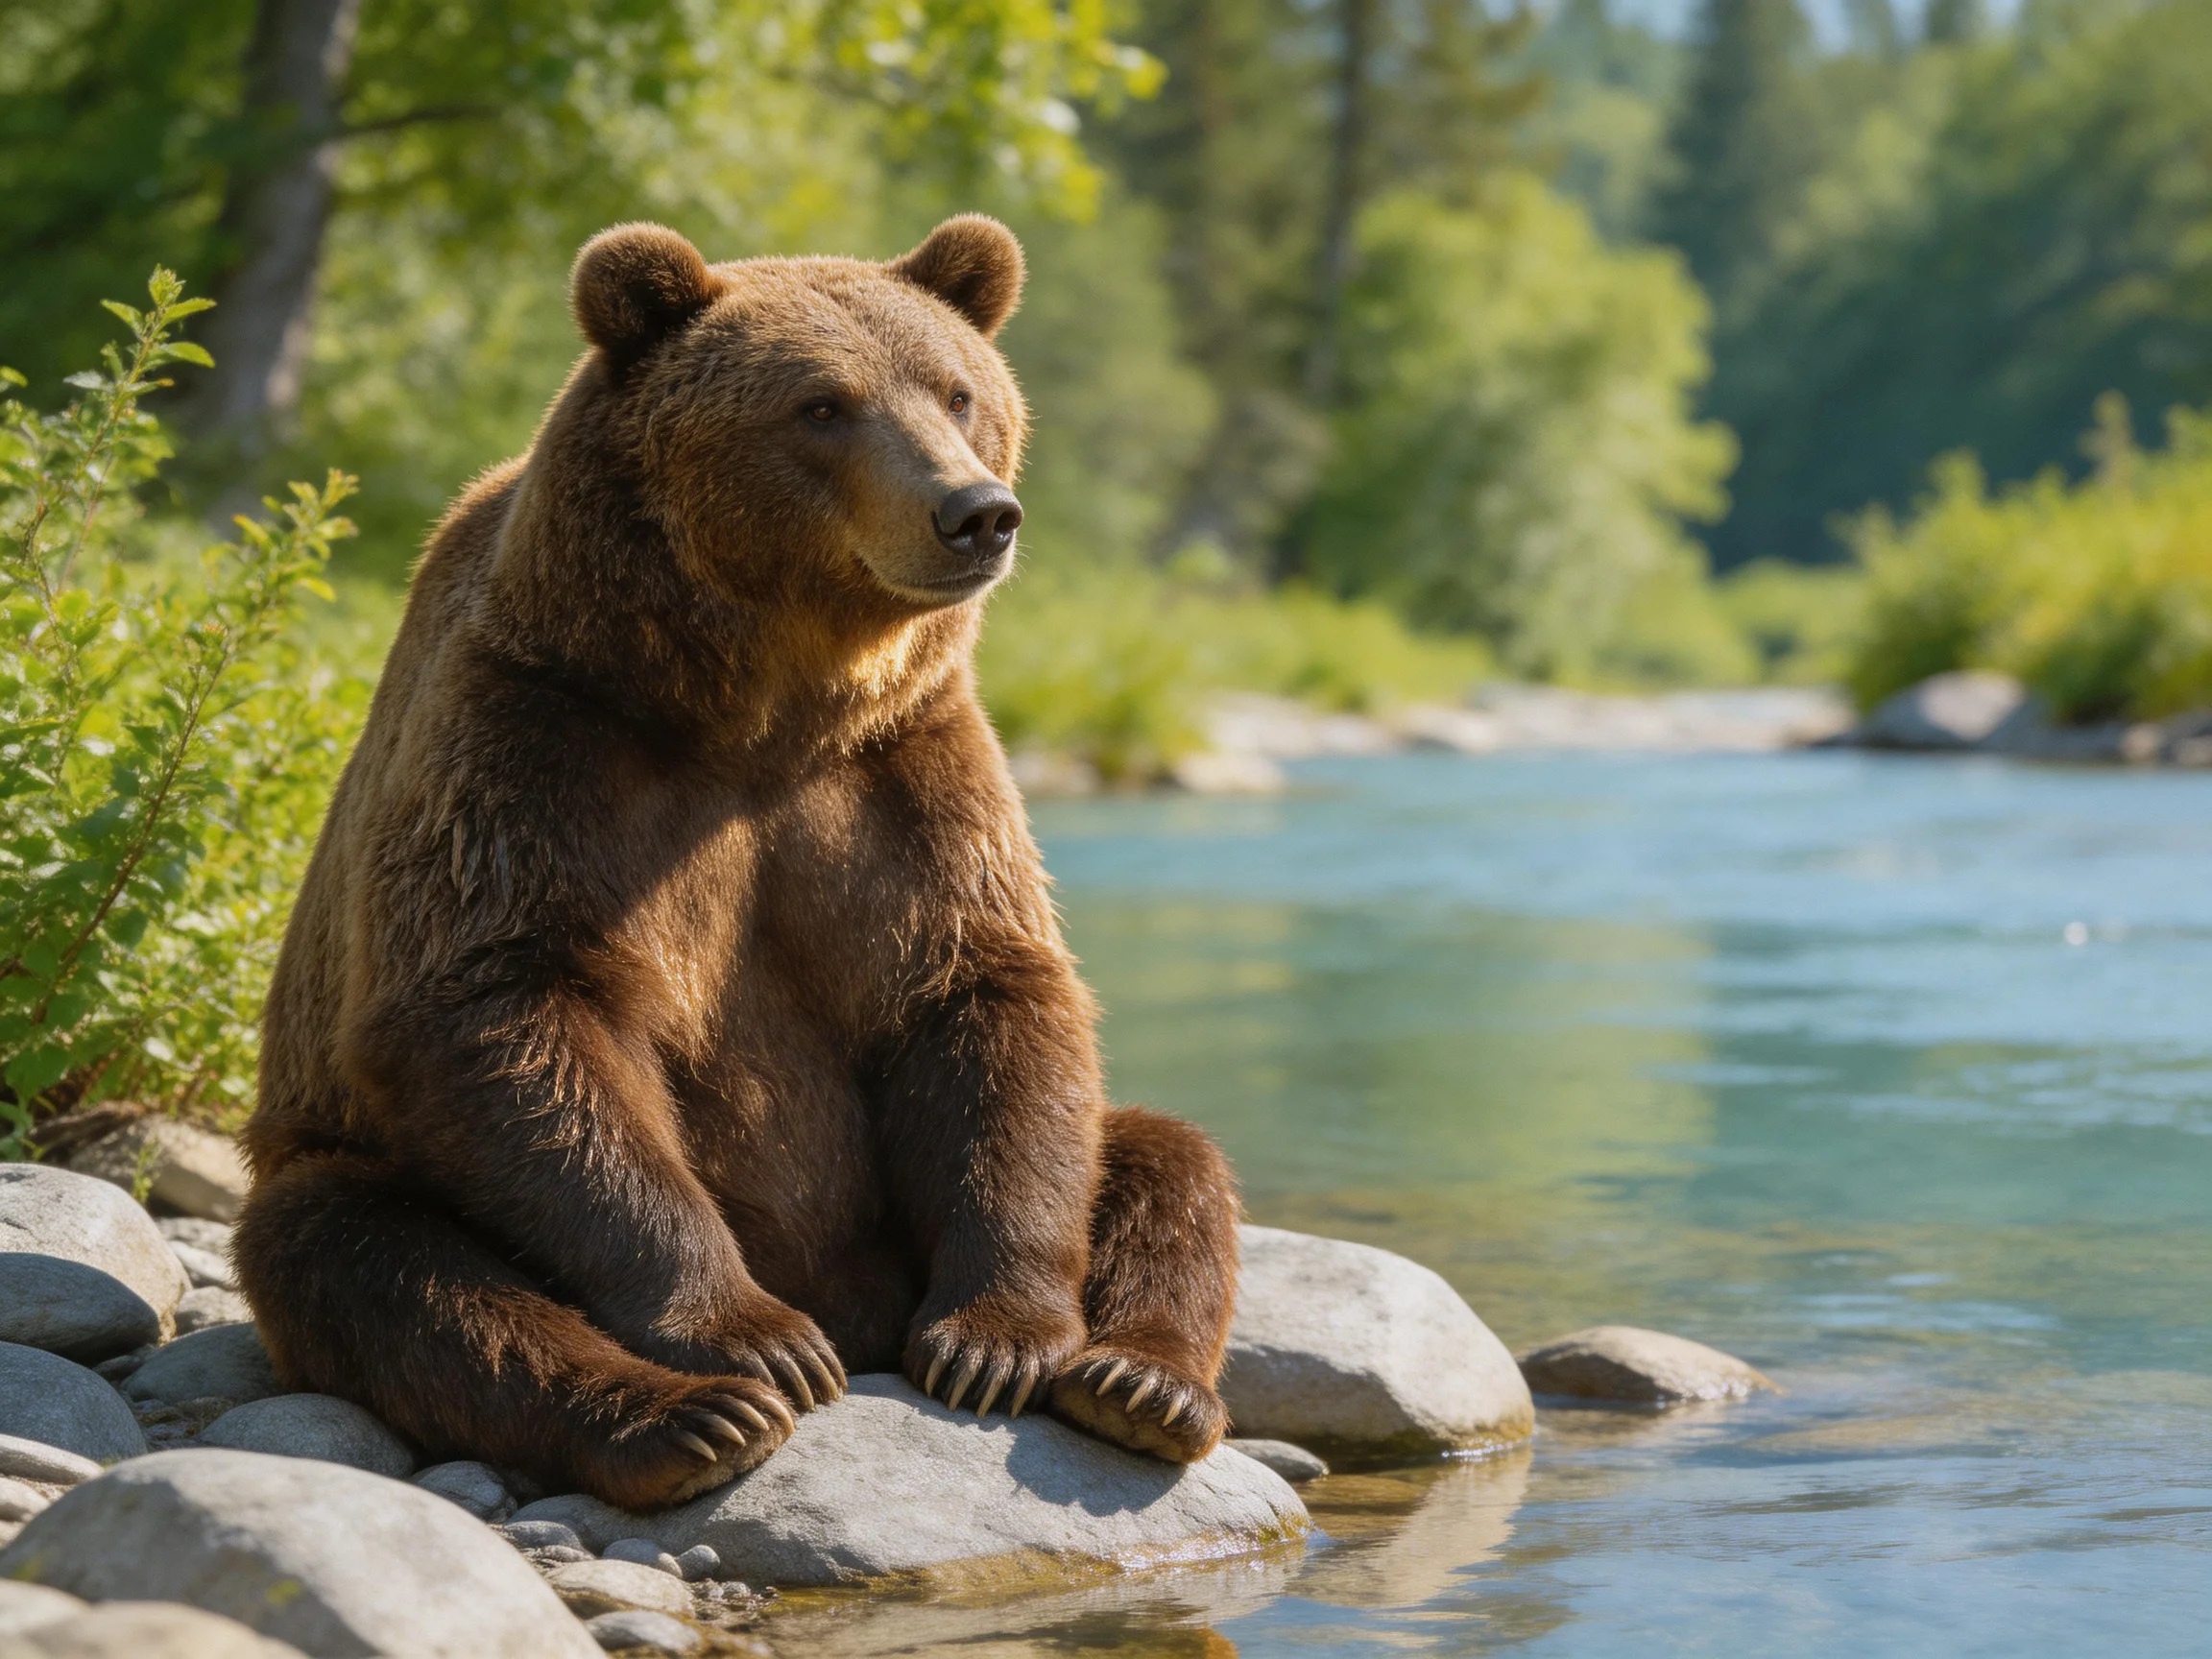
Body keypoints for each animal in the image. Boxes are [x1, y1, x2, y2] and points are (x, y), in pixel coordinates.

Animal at [232, 215, 1243, 1511]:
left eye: (958, 390)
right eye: (821, 405)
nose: (976, 512)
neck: (761, 704)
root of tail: (858, 1305)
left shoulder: (904, 774)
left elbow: (989, 987)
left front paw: (996, 1341)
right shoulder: (534, 740)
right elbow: (508, 1011)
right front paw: (753, 1337)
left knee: (1165, 1155)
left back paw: (1142, 1383)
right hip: (351, 1158)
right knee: (382, 1268)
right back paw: (692, 1418)